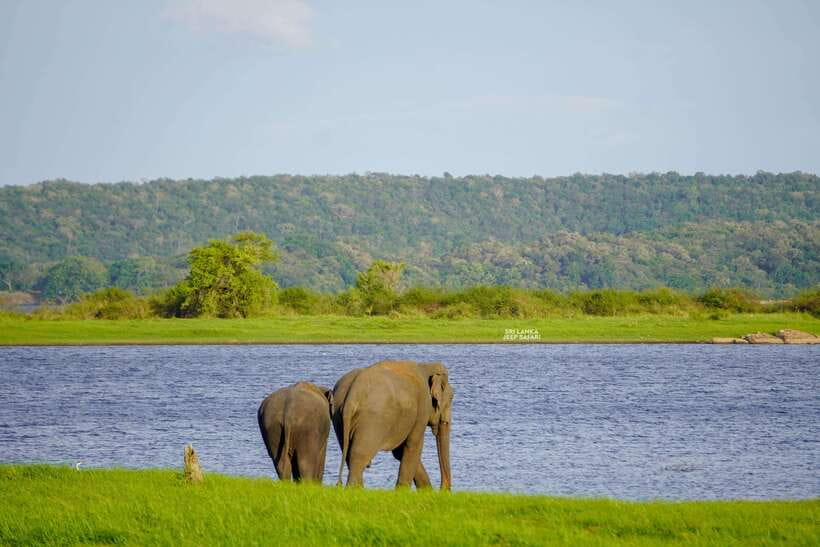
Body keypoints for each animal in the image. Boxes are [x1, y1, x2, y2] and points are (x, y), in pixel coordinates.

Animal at [332, 360, 453, 490]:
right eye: (452, 397)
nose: (442, 490)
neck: (425, 366)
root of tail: (352, 393)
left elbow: (399, 452)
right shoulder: (422, 408)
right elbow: (413, 445)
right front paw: (404, 491)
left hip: (338, 416)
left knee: (349, 454)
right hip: (373, 419)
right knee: (359, 456)